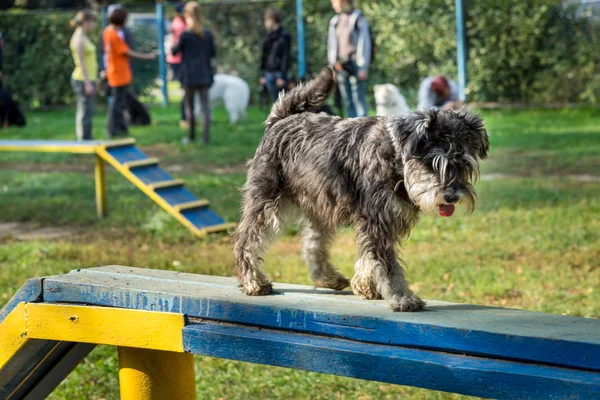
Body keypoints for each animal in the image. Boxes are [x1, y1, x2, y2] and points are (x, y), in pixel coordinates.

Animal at [232, 69, 490, 312]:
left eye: (463, 164)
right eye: (434, 163)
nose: (453, 196)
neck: (395, 158)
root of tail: (280, 119)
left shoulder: (382, 221)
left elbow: (370, 257)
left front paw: (365, 285)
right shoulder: (377, 220)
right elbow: (387, 265)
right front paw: (402, 298)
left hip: (322, 206)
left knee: (313, 244)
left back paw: (329, 278)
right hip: (265, 202)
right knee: (246, 240)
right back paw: (253, 281)